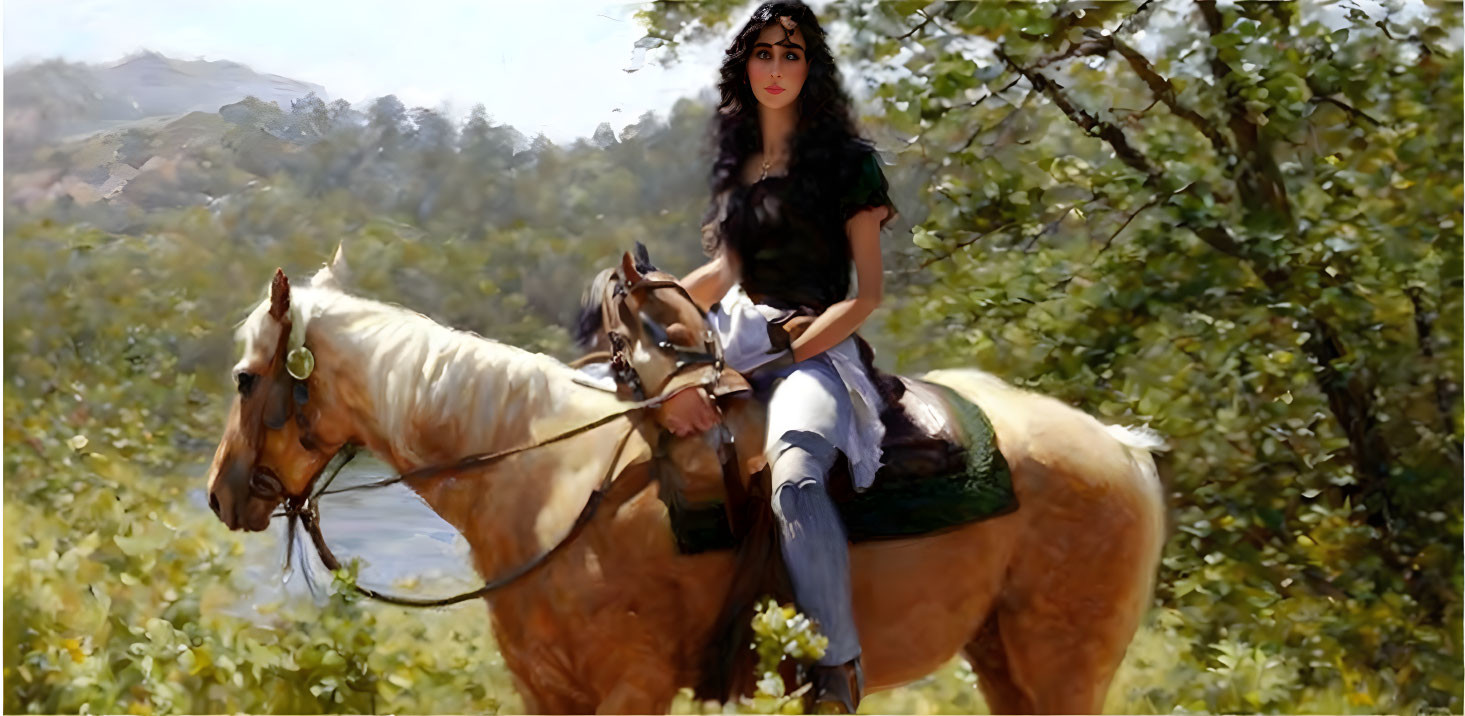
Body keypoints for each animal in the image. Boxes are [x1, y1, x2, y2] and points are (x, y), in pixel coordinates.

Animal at [206, 248, 1166, 711]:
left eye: (246, 379)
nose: (221, 494)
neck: (547, 479)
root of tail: (1116, 447)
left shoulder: (631, 687)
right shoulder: (548, 694)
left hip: (1064, 666)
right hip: (1003, 660)